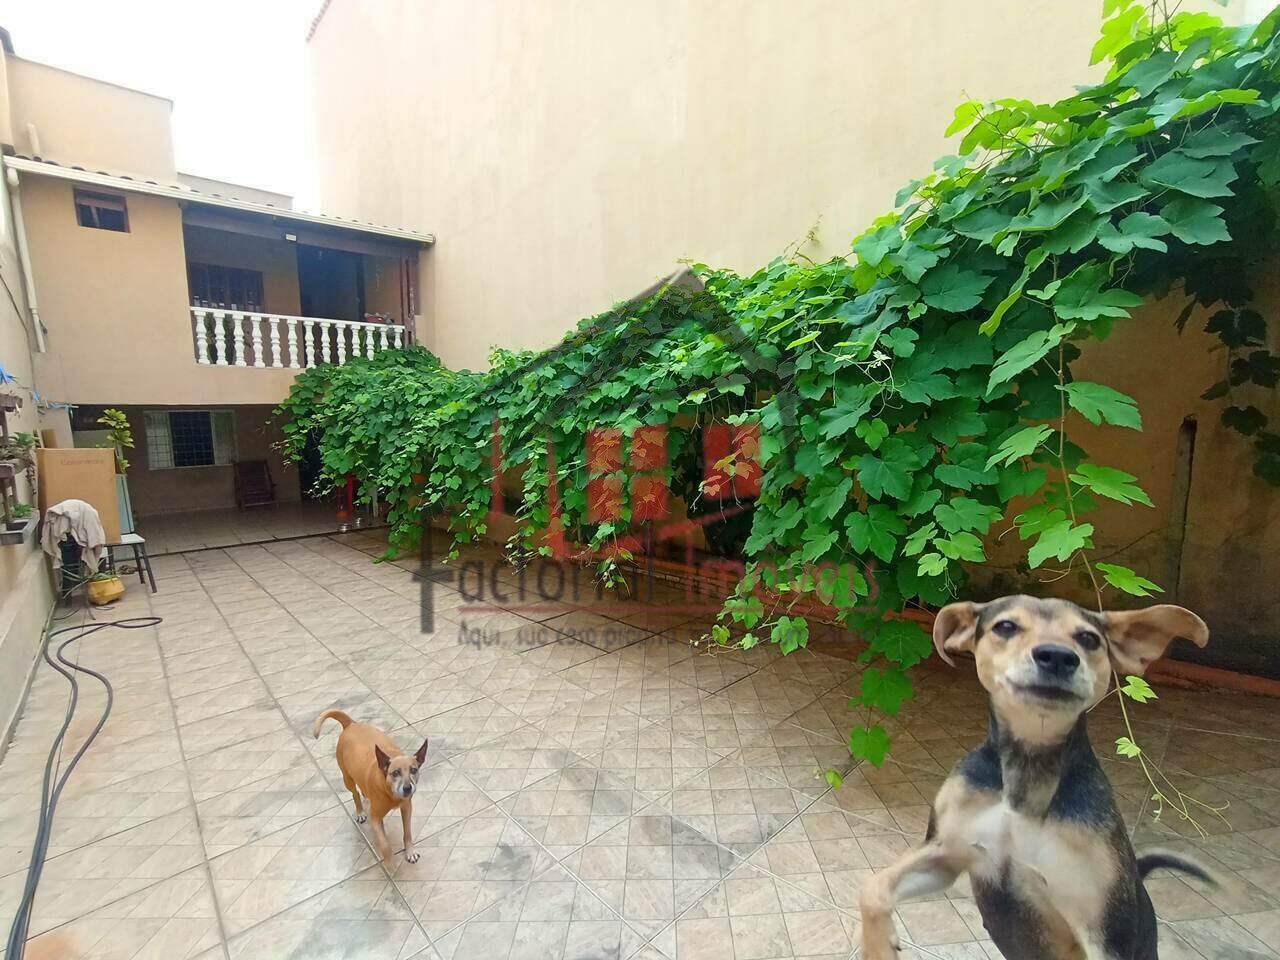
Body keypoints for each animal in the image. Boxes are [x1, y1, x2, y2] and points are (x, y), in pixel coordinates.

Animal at [313, 709, 429, 864]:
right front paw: (388, 860)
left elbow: (407, 832)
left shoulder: (406, 808)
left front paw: (410, 851)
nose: (407, 788)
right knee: (355, 793)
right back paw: (360, 811)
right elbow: (384, 844)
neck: (389, 792)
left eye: (414, 770)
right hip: (347, 778)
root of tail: (350, 724)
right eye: (395, 773)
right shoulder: (375, 818)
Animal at [859, 596, 1213, 960]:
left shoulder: (1102, 925)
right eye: (1005, 626)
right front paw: (879, 947)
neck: (1028, 763)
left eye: (1089, 639)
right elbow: (872, 887)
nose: (1057, 656)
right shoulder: (946, 854)